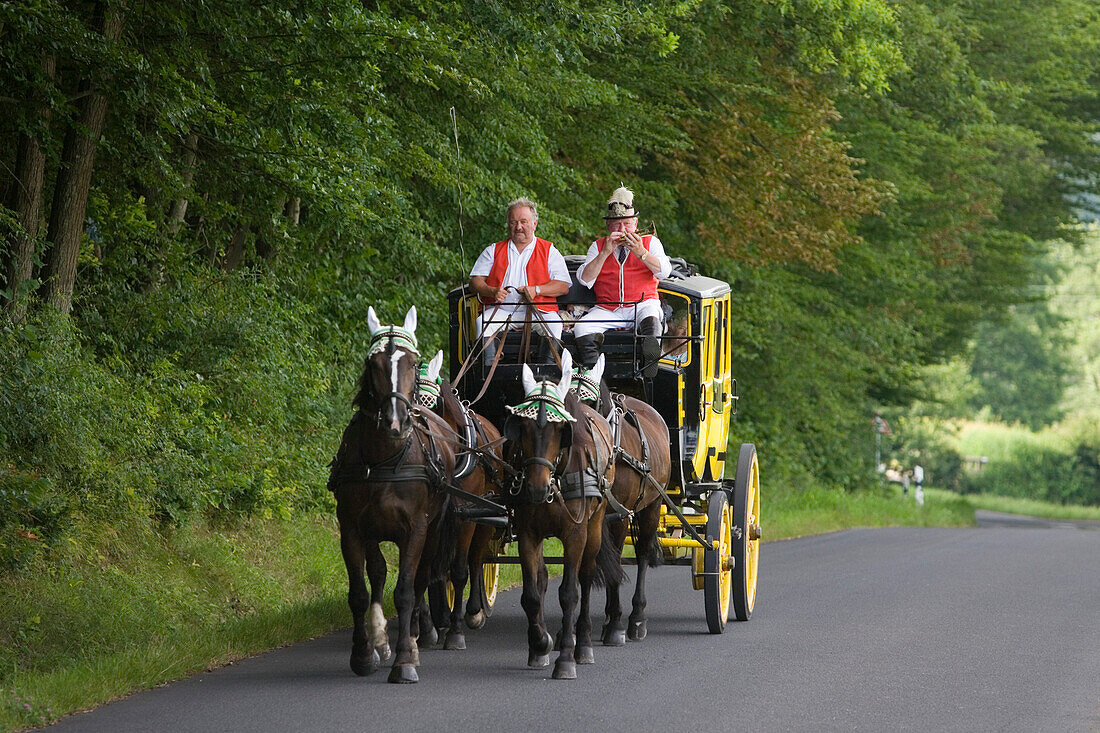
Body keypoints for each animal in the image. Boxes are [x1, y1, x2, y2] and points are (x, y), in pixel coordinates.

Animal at [327, 305, 462, 682]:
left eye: (413, 363)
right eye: (372, 364)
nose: (395, 421)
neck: (383, 458)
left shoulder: (416, 528)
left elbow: (405, 590)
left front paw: (404, 659)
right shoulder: (353, 528)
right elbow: (361, 591)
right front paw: (364, 653)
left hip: (433, 529)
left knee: (421, 578)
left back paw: (417, 637)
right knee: (379, 573)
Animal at [503, 352, 624, 677]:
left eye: (560, 430)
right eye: (522, 427)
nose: (535, 487)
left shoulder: (575, 534)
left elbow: (569, 592)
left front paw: (567, 657)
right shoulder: (528, 533)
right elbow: (531, 594)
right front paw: (540, 644)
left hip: (594, 526)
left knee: (585, 576)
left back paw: (583, 643)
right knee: (544, 579)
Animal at [576, 356, 668, 642]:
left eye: (591, 400)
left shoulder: (619, 514)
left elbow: (616, 559)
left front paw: (616, 624)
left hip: (651, 506)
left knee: (643, 553)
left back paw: (637, 617)